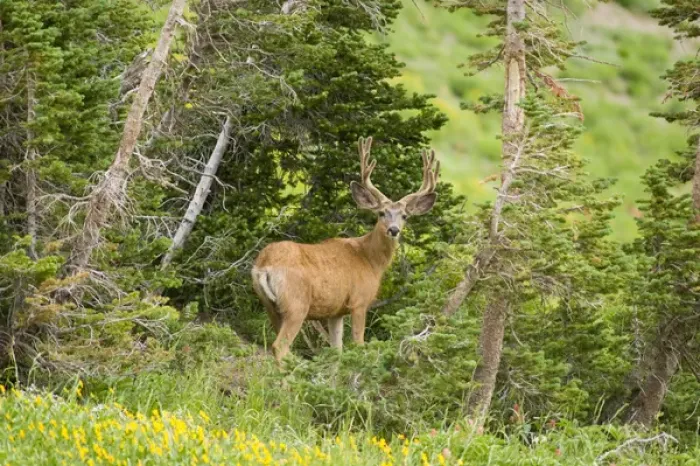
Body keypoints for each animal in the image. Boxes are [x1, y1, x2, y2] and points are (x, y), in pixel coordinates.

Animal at [251, 137, 440, 361]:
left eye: (405, 216)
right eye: (381, 213)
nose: (393, 230)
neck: (370, 260)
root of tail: (264, 265)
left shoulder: (336, 311)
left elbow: (336, 350)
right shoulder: (359, 301)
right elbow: (358, 344)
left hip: (269, 305)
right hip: (296, 303)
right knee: (280, 346)